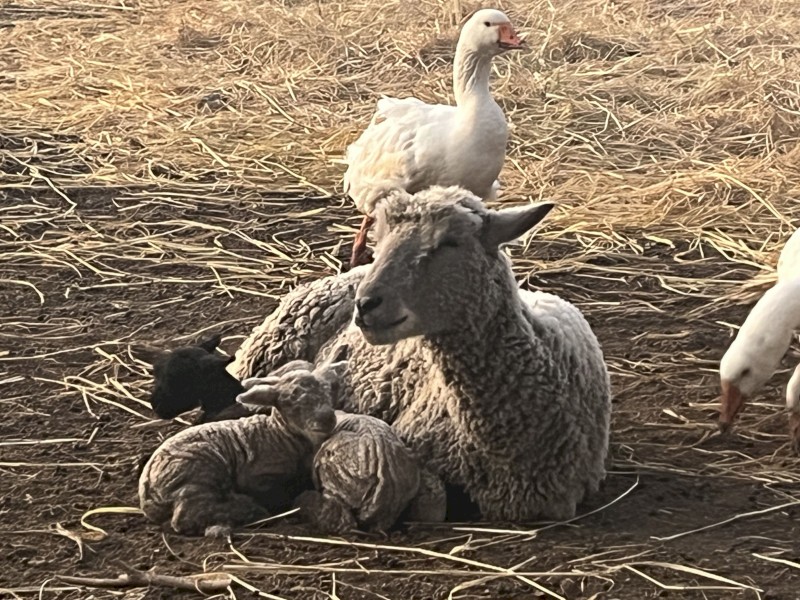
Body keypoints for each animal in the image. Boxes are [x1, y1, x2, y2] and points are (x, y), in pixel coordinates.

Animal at [138, 359, 345, 537]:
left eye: (328, 391)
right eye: (289, 402)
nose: (326, 418)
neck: (279, 434)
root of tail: (147, 491)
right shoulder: (260, 475)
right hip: (199, 469)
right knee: (186, 516)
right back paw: (249, 509)